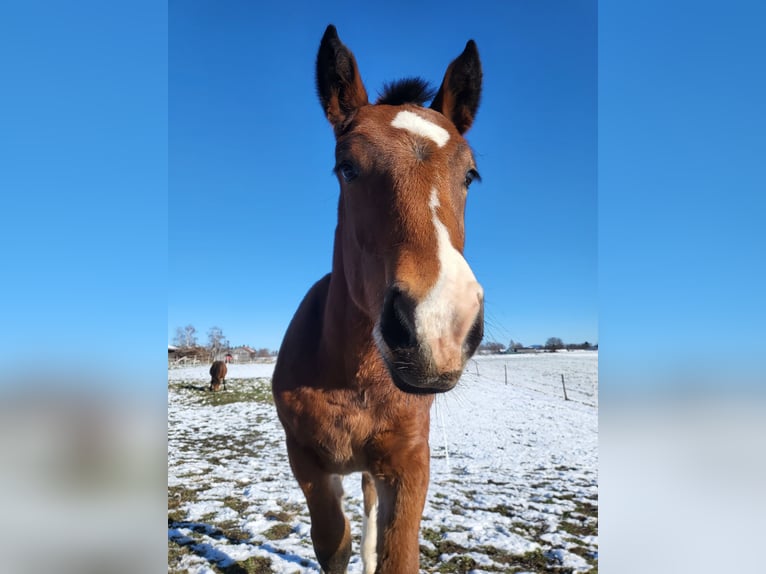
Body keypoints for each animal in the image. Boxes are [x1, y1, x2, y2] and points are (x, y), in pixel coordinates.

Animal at [272, 25, 484, 574]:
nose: (438, 323)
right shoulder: (306, 460)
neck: (354, 378)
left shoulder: (408, 465)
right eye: (346, 167)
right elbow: (333, 543)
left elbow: (391, 554)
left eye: (470, 175)